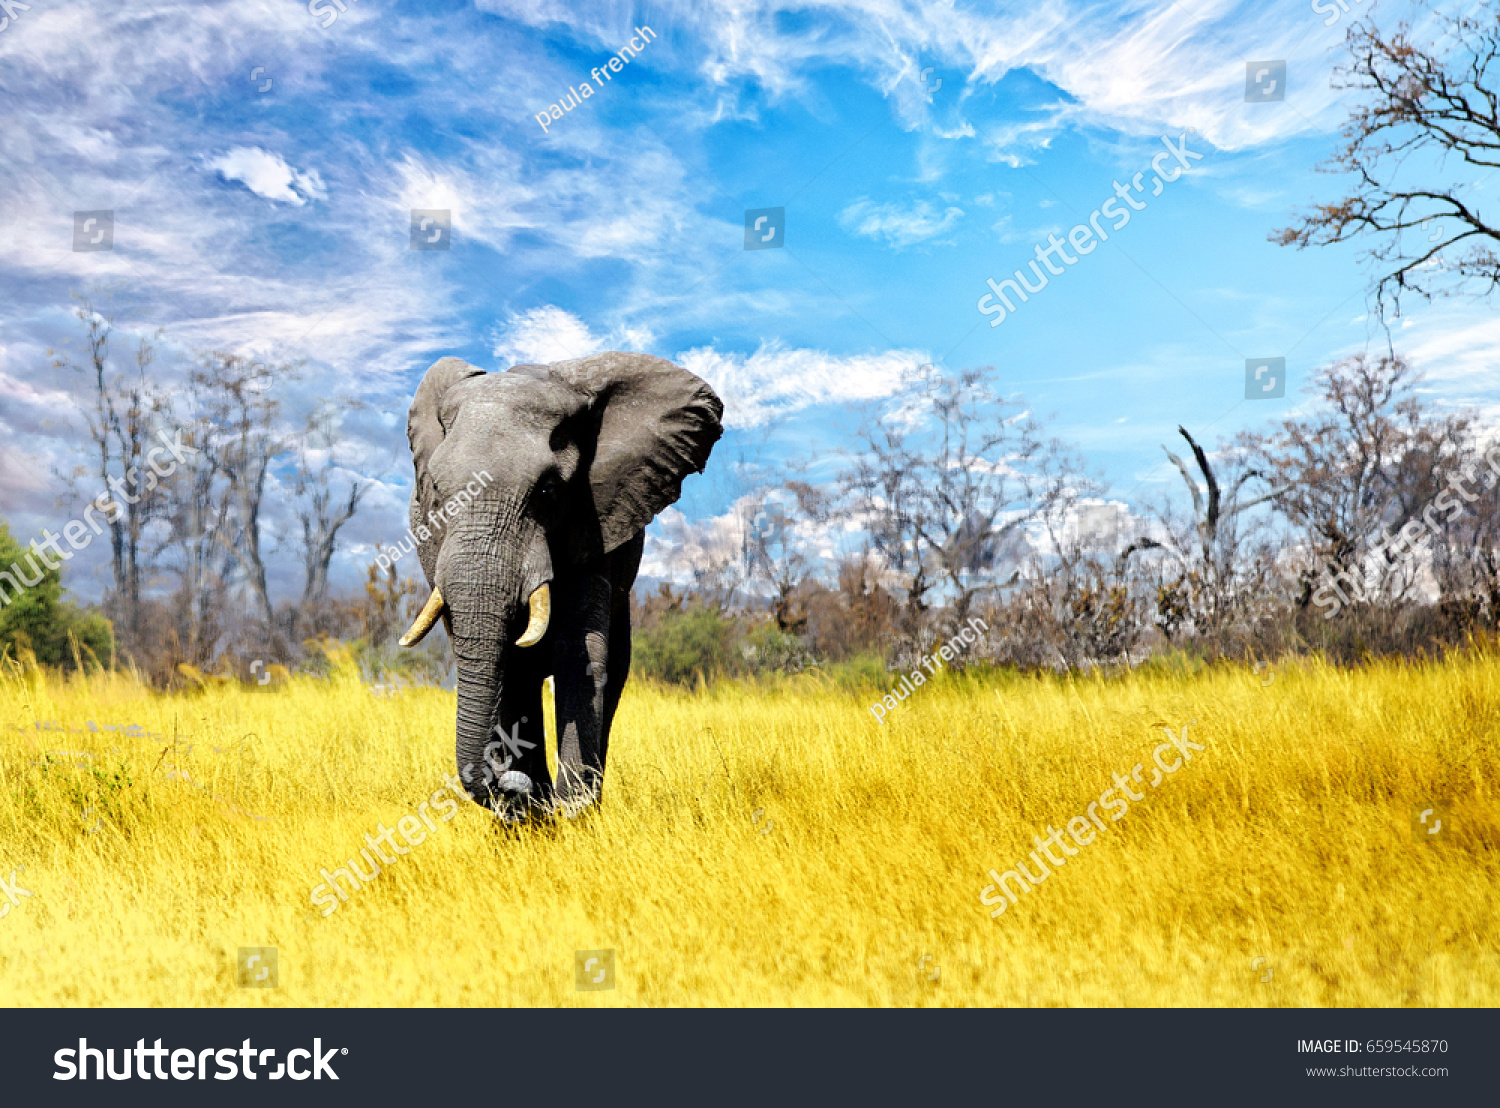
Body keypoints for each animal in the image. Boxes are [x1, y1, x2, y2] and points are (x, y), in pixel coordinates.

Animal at [399, 350, 726, 821]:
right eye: (438, 493)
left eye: (547, 490)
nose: (505, 784)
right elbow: (508, 664)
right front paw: (528, 813)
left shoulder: (596, 519)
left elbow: (581, 652)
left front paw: (574, 813)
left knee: (614, 668)